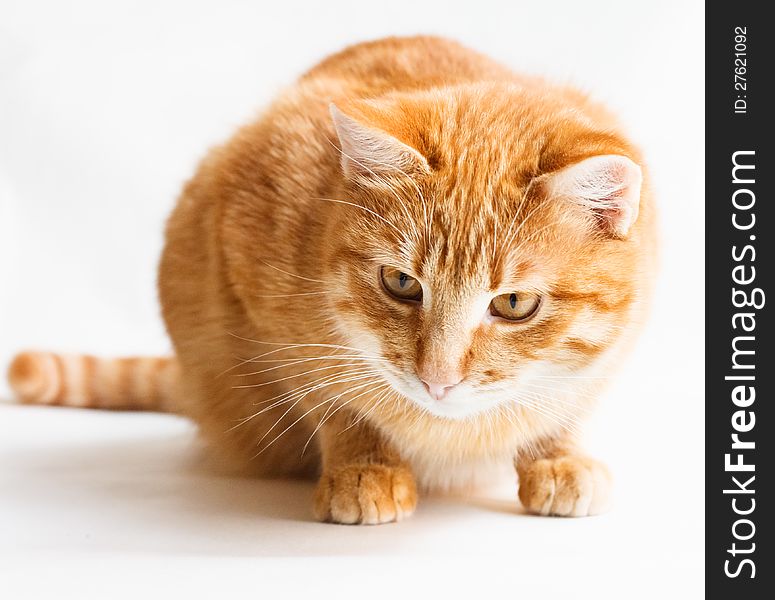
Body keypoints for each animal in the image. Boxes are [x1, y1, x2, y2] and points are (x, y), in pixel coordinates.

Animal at [10, 37, 656, 524]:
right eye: (401, 283)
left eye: (515, 303)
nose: (438, 380)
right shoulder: (260, 292)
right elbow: (333, 396)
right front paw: (364, 464)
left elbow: (566, 403)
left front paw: (556, 455)